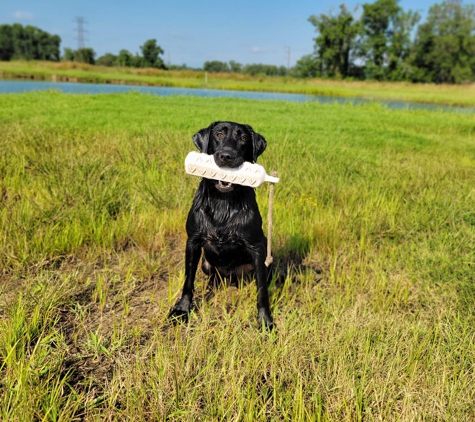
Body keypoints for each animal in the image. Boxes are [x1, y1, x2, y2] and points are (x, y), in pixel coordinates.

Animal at [169, 121, 276, 330]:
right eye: (218, 134)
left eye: (243, 138)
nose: (227, 156)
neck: (223, 203)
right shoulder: (193, 242)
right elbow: (188, 280)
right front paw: (182, 309)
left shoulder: (258, 248)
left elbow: (262, 290)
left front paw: (265, 320)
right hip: (206, 264)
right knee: (213, 277)